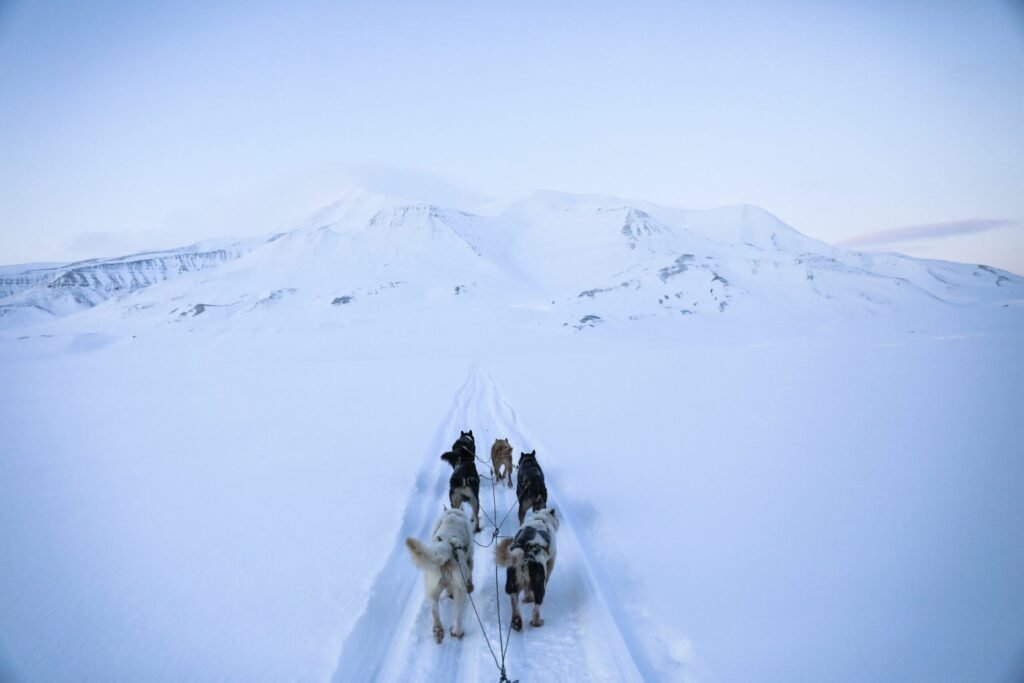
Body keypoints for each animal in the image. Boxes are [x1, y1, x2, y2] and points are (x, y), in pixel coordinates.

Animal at [403, 507, 475, 647]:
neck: (453, 515)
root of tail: (447, 547)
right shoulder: (469, 560)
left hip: (432, 587)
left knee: (434, 610)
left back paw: (438, 631)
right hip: (460, 590)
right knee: (458, 615)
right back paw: (457, 632)